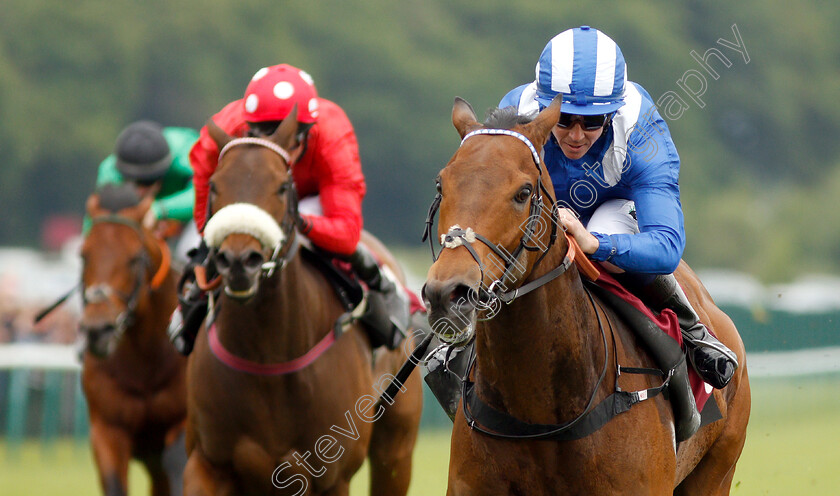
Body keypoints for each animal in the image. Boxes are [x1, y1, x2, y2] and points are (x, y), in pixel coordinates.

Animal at [80, 184, 187, 494]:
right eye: (83, 255)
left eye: (135, 258)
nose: (98, 330)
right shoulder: (106, 431)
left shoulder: (183, 423)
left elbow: (178, 465)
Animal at [181, 108, 424, 496]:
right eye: (215, 185)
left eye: (282, 185)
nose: (238, 261)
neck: (267, 353)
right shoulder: (207, 464)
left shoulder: (328, 476)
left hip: (396, 447)